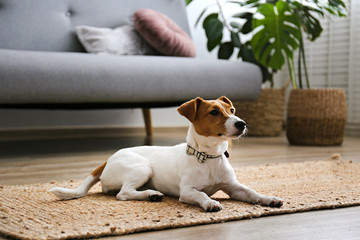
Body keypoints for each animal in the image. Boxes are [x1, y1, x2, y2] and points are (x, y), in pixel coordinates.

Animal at [50, 96, 284, 212]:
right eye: (214, 112)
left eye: (232, 110)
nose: (242, 123)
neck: (208, 157)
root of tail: (108, 159)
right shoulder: (187, 191)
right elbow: (201, 194)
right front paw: (210, 202)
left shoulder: (234, 187)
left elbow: (252, 192)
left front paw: (269, 199)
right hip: (142, 168)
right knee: (123, 193)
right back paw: (151, 195)